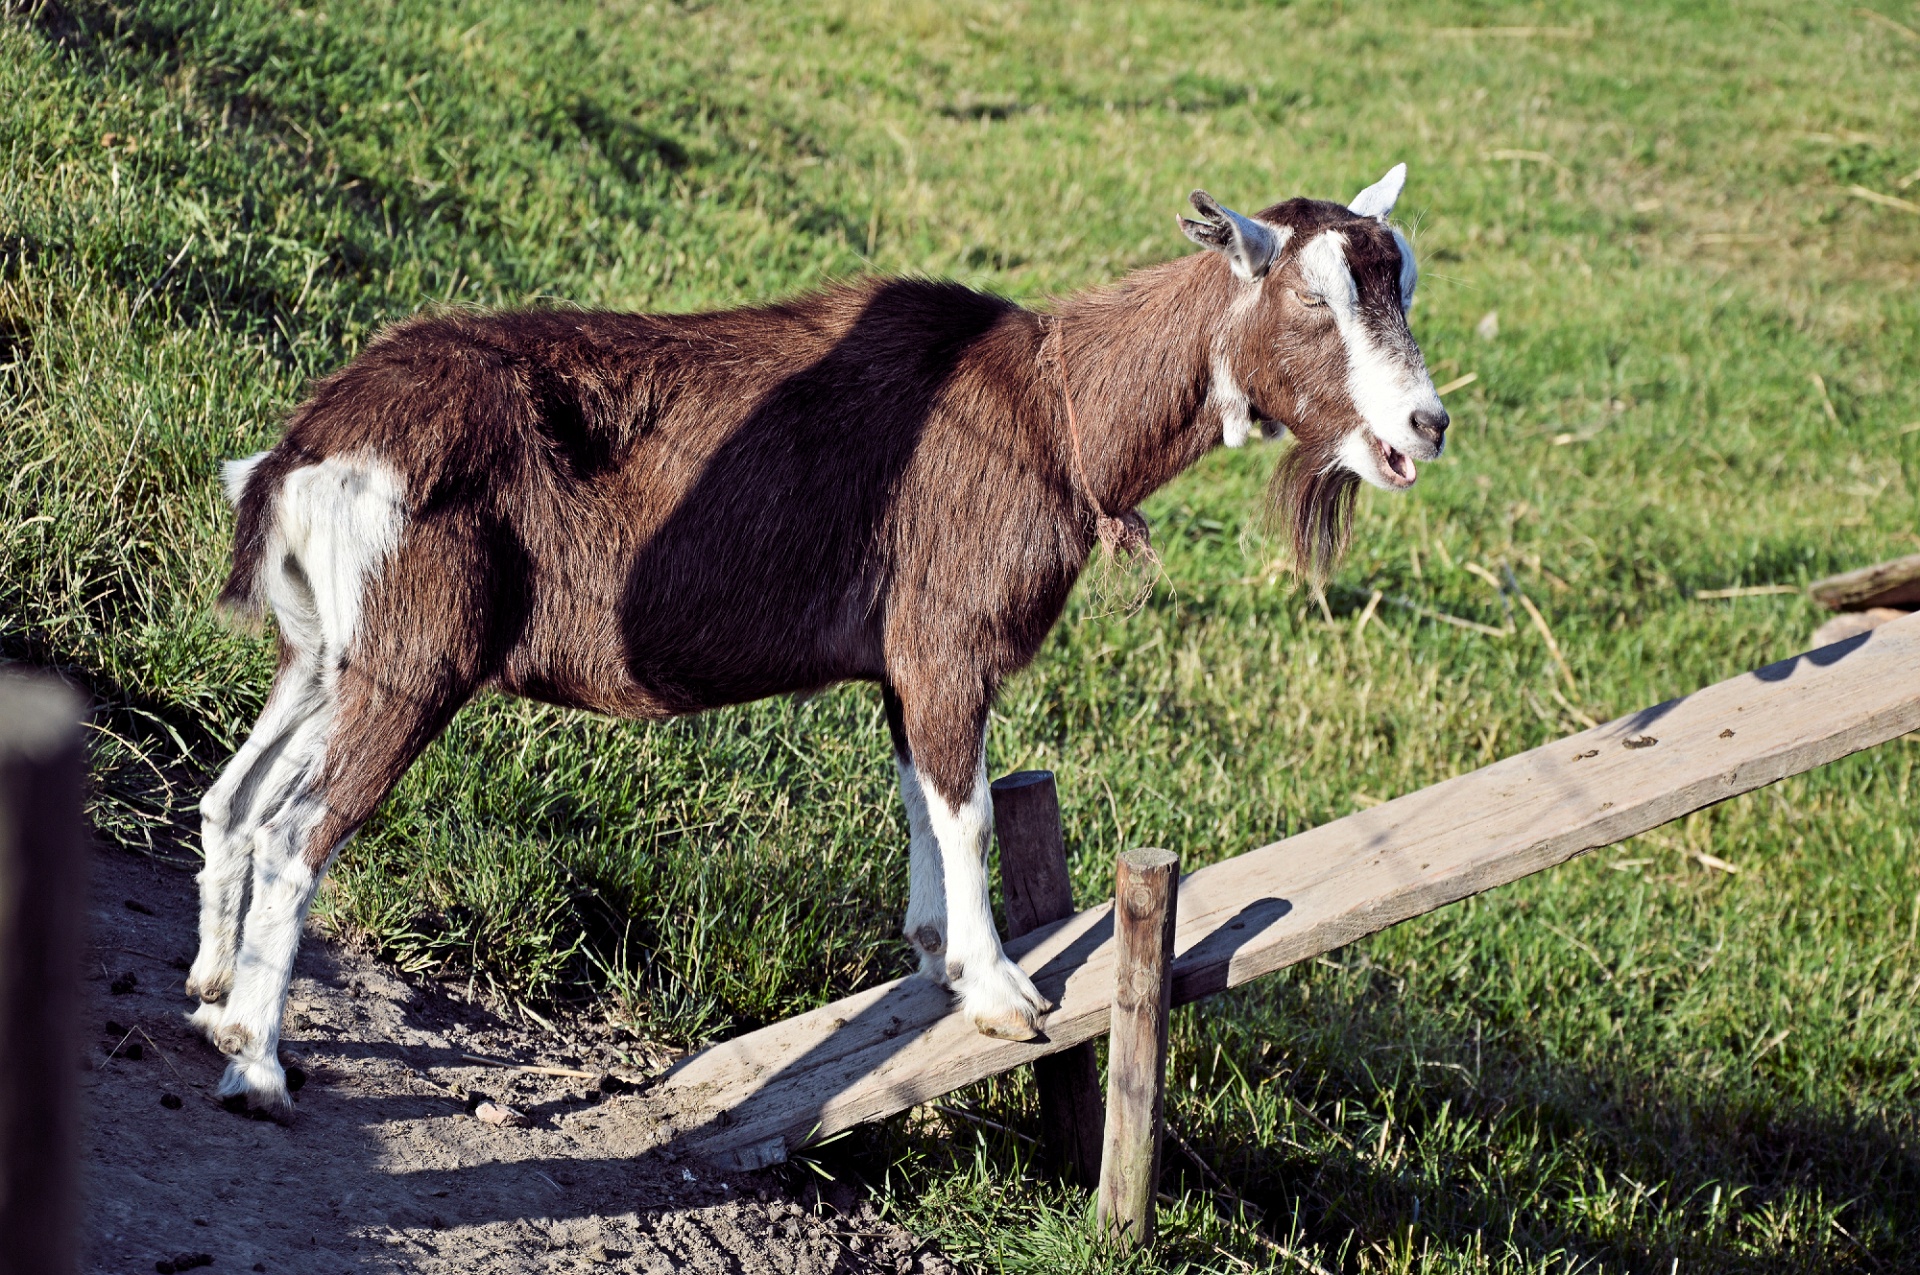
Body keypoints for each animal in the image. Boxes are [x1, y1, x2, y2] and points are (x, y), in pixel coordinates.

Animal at [194, 162, 1443, 1113]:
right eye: (1315, 301)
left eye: (1404, 284)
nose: (1425, 424)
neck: (1056, 412)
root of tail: (311, 442)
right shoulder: (948, 643)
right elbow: (967, 809)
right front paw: (1003, 997)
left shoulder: (904, 663)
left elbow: (924, 800)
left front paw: (938, 959)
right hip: (416, 659)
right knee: (298, 833)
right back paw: (258, 1068)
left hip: (325, 651)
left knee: (237, 796)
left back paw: (208, 995)